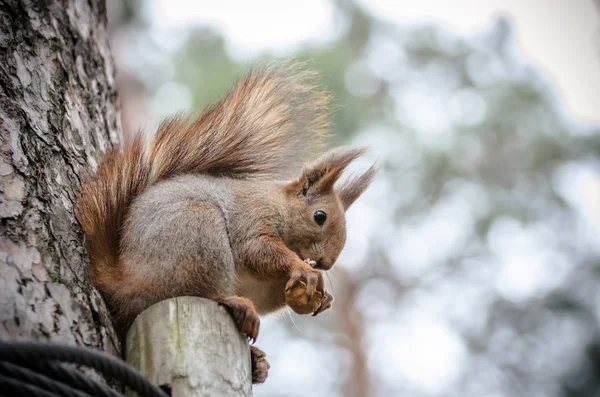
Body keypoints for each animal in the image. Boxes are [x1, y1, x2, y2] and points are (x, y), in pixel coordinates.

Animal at [75, 63, 376, 382]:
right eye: (320, 216)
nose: (327, 263)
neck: (279, 205)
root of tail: (124, 282)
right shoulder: (251, 218)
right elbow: (256, 251)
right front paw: (305, 269)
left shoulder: (261, 285)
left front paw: (322, 296)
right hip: (198, 234)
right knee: (202, 291)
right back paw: (235, 304)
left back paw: (257, 361)